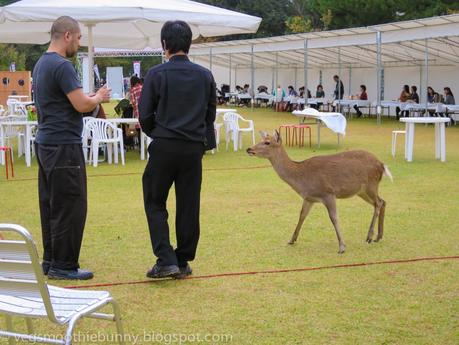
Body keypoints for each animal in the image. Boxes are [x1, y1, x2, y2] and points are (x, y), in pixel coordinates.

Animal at [246, 130, 394, 253]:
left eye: (267, 142)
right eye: (261, 139)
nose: (249, 149)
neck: (301, 178)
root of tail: (381, 165)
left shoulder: (328, 193)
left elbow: (333, 217)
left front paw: (342, 247)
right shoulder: (309, 198)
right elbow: (302, 215)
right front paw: (291, 240)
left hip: (370, 185)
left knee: (378, 203)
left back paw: (369, 236)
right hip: (361, 191)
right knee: (383, 201)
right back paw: (378, 236)